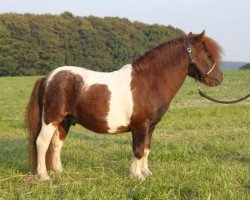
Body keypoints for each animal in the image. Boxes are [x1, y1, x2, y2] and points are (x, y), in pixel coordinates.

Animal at [25, 30, 223, 180]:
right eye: (209, 55)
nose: (219, 79)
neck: (149, 82)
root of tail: (48, 77)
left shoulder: (150, 127)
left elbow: (146, 149)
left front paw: (146, 172)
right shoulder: (140, 126)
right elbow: (138, 150)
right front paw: (137, 176)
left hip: (65, 121)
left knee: (56, 144)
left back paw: (59, 171)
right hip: (51, 119)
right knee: (42, 143)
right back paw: (44, 176)